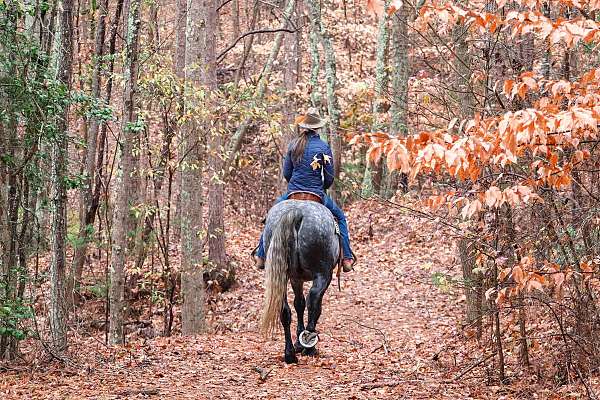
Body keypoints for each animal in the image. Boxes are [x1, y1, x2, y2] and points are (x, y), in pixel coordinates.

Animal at [260, 199, 340, 362]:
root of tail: (297, 213)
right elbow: (311, 306)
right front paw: (302, 343)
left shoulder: (296, 278)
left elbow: (299, 304)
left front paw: (297, 342)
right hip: (323, 274)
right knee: (314, 301)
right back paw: (309, 346)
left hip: (283, 276)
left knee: (285, 310)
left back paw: (290, 354)